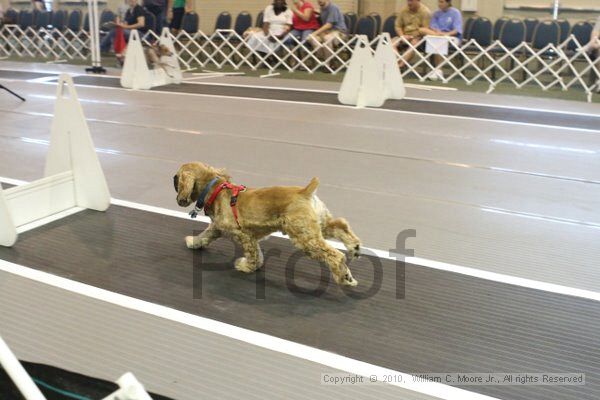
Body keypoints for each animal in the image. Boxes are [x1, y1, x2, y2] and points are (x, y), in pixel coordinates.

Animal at [173, 162, 360, 288]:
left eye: (176, 178)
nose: (172, 179)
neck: (216, 190)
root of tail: (305, 192)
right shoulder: (218, 228)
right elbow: (204, 236)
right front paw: (193, 242)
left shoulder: (243, 235)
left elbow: (253, 255)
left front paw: (246, 266)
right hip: (319, 226)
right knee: (341, 225)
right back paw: (355, 248)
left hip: (305, 238)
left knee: (335, 255)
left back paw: (344, 277)